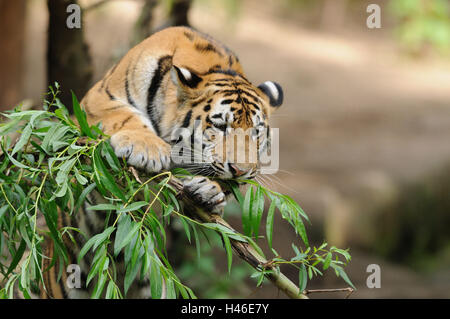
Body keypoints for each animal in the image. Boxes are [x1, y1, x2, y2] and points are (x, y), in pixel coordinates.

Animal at [40, 26, 284, 298]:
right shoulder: (98, 97)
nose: (241, 171)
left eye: (256, 132)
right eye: (220, 126)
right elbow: (122, 115)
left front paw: (210, 193)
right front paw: (148, 149)